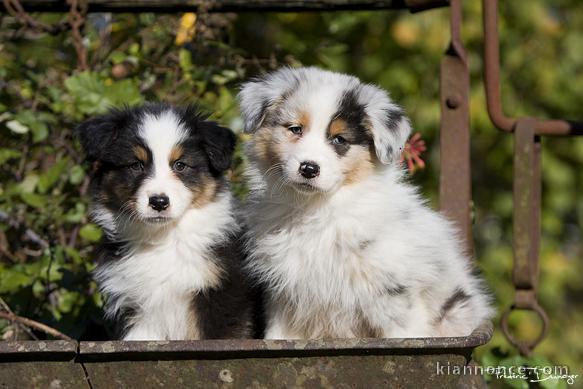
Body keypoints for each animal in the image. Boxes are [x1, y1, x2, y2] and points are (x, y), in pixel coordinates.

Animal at [76, 103, 258, 340]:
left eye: (180, 165)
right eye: (136, 165)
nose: (159, 202)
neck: (164, 238)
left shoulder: (223, 294)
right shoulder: (136, 306)